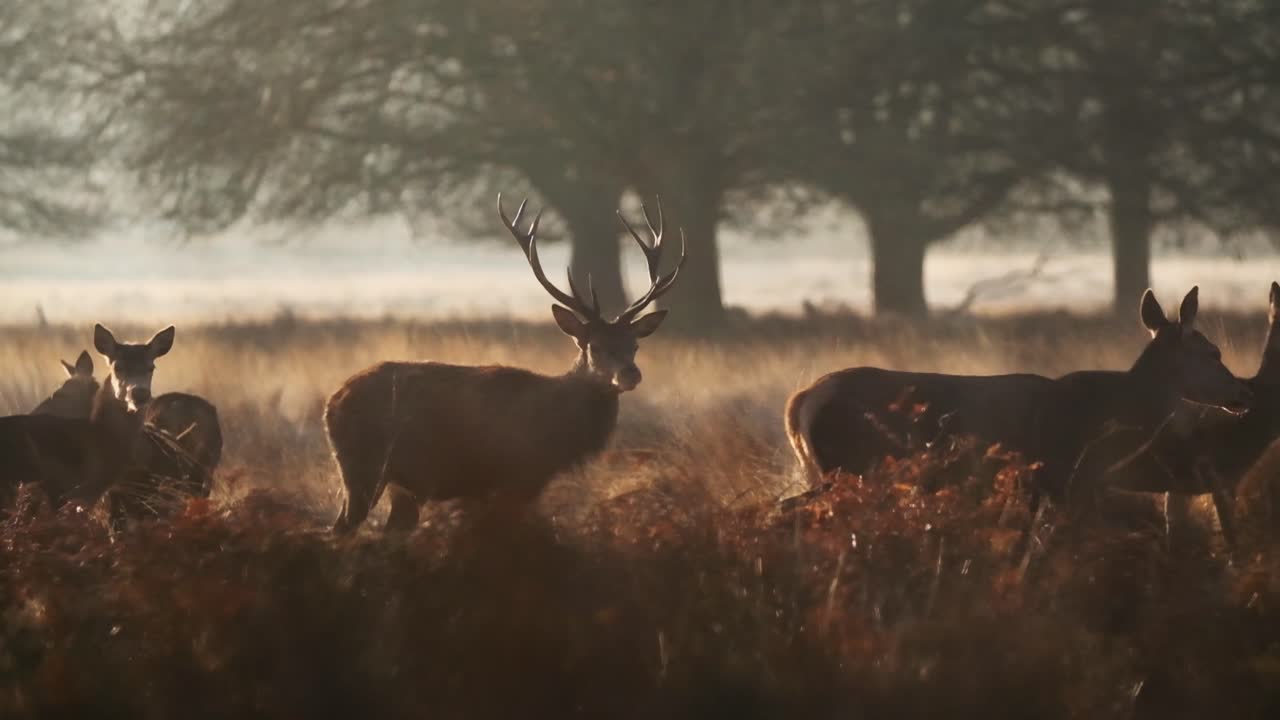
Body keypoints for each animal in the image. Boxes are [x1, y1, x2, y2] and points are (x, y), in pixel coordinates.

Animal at [326, 194, 685, 534]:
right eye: (595, 346)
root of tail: (333, 402)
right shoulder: (514, 475)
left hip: (398, 483)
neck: (555, 430)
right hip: (363, 467)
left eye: (634, 346)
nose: (630, 374)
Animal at [786, 287, 1252, 519]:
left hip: (826, 469)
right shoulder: (1060, 476)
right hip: (850, 467)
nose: (1243, 392)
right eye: (1213, 353)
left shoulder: (1043, 485)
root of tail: (801, 401)